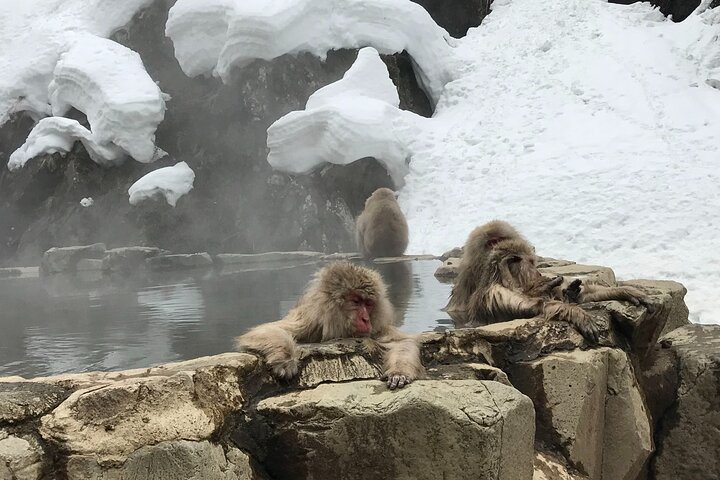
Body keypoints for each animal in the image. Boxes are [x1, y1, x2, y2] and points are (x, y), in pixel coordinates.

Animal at [236, 261, 423, 389]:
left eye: (369, 304)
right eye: (356, 301)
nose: (365, 319)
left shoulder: (374, 328)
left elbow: (401, 342)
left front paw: (399, 372)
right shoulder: (311, 319)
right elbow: (270, 328)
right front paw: (285, 359)